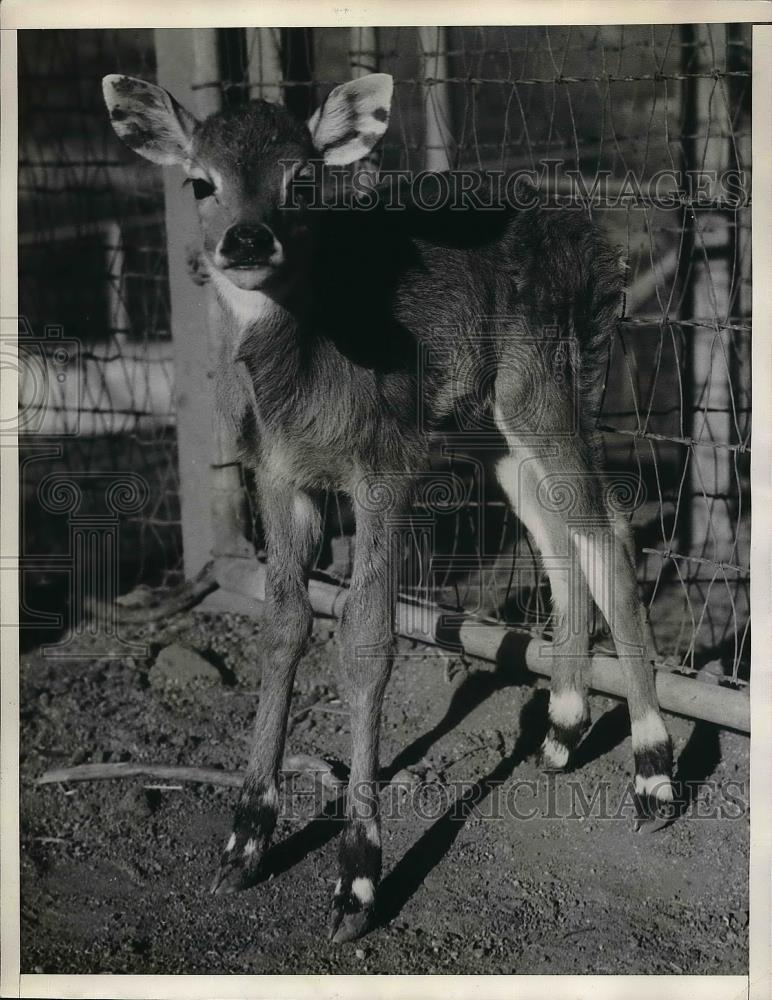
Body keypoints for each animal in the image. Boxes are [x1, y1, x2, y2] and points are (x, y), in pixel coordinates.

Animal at [104, 74, 676, 940]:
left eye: (303, 180)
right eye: (199, 181)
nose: (246, 240)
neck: (308, 381)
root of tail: (594, 243)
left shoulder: (385, 465)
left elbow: (368, 637)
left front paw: (358, 878)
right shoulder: (279, 476)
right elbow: (282, 625)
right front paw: (244, 841)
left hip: (550, 381)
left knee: (607, 528)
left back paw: (652, 773)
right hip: (489, 427)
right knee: (556, 536)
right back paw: (562, 731)